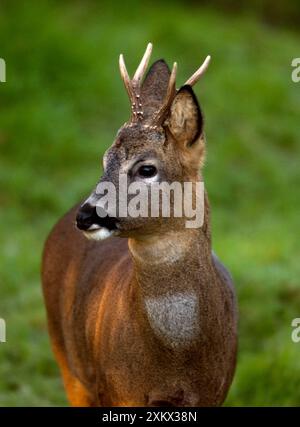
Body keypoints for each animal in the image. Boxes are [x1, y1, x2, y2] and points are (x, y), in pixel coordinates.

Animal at [42, 43, 238, 408]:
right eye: (105, 160)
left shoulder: (214, 391)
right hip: (64, 354)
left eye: (146, 168)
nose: (85, 215)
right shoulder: (116, 391)